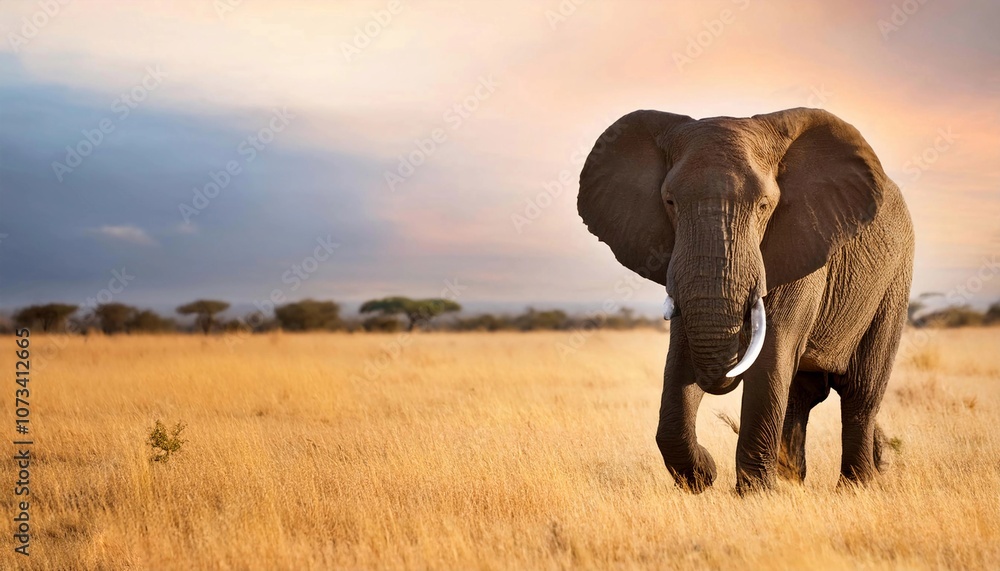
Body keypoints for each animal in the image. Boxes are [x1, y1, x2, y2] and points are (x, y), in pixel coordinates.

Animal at [577, 107, 914, 493]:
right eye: (670, 202)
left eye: (765, 205)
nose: (710, 467)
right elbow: (681, 357)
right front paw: (703, 476)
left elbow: (771, 355)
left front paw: (755, 495)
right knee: (800, 395)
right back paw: (794, 481)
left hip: (894, 281)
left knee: (860, 393)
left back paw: (855, 488)